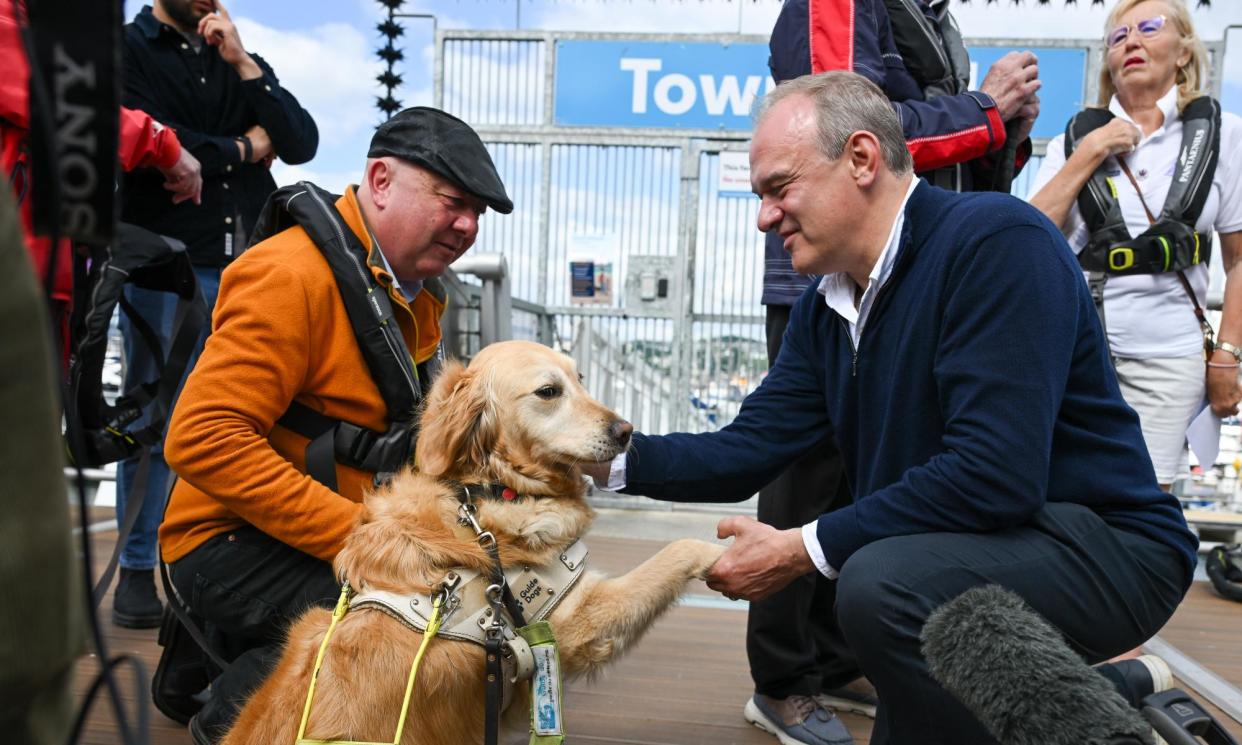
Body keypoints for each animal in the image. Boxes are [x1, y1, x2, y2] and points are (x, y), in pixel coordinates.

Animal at [223, 340, 725, 740]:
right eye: (549, 392)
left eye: (580, 379)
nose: (626, 431)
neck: (491, 489)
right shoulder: (577, 620)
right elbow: (680, 548)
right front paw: (726, 554)